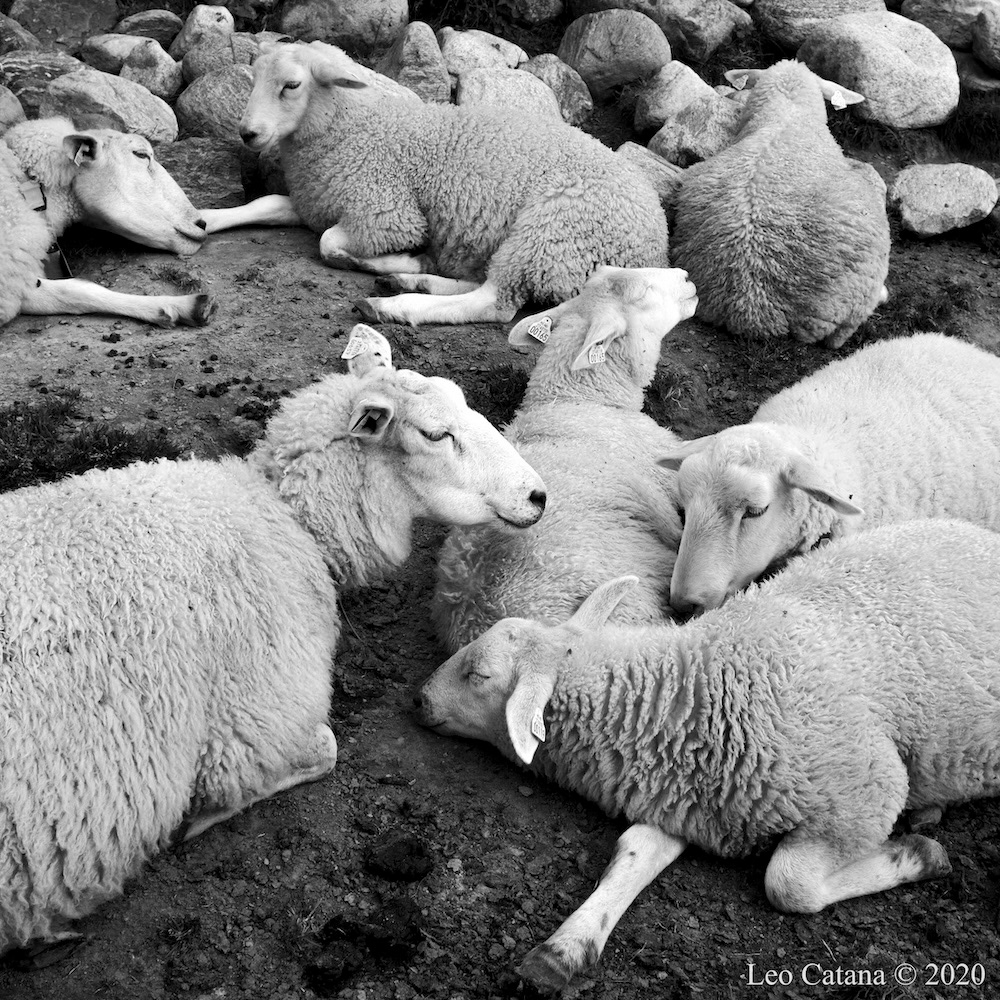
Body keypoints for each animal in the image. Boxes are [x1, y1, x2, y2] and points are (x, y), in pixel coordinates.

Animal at [0, 327, 547, 954]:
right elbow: (323, 750)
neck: (285, 518)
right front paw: (196, 819)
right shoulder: (252, 720)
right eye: (436, 434)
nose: (539, 495)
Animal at [238, 41, 670, 326]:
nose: (247, 134)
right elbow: (268, 206)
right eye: (253, 79)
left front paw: (403, 257)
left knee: (495, 303)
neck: (358, 126)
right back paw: (409, 281)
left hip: (553, 232)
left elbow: (328, 243)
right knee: (482, 283)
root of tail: (657, 249)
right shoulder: (316, 201)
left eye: (291, 85)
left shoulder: (388, 214)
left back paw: (394, 304)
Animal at [416, 518, 1000, 991]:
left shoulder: (867, 790)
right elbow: (631, 855)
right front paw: (564, 950)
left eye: (479, 675)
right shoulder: (689, 801)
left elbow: (788, 886)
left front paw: (920, 856)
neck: (692, 687)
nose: (419, 698)